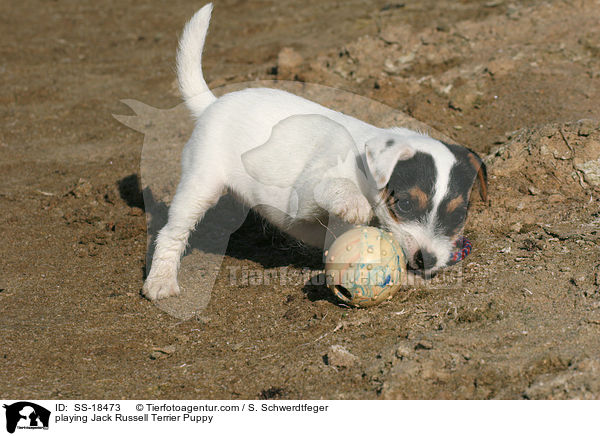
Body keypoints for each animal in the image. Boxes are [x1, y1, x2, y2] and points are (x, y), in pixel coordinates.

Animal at [141, 3, 488, 302]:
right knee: (171, 233)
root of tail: (212, 103)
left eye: (458, 215)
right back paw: (160, 282)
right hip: (200, 185)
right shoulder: (304, 197)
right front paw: (353, 203)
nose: (425, 259)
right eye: (403, 204)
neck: (365, 166)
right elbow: (334, 187)